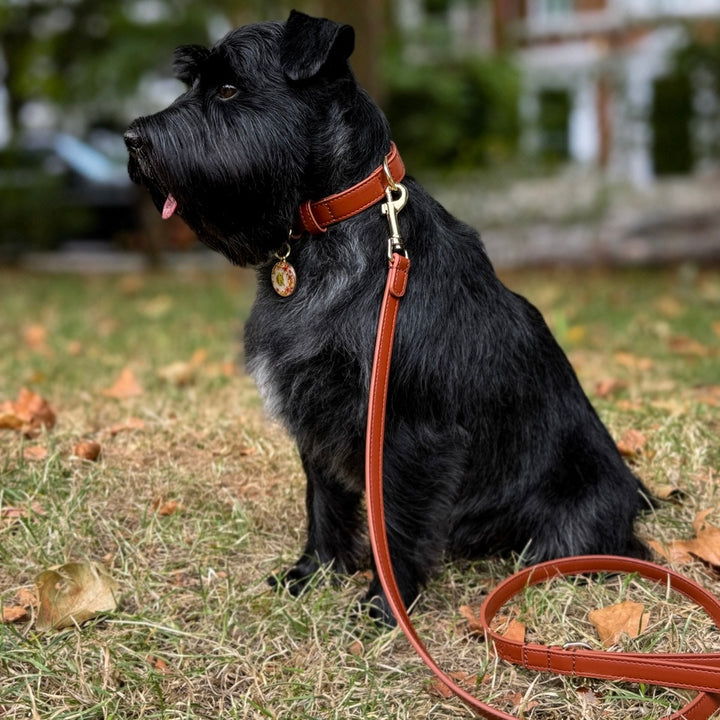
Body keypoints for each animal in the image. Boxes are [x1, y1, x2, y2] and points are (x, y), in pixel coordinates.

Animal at [125, 11, 652, 624]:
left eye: (229, 89)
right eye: (192, 82)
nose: (131, 138)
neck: (328, 233)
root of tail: (636, 494)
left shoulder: (410, 434)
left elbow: (396, 524)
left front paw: (384, 605)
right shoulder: (317, 412)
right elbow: (324, 501)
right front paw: (315, 573)